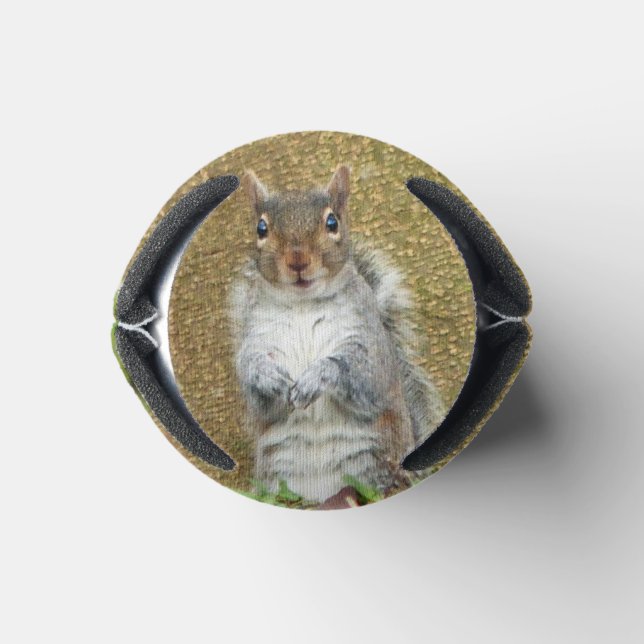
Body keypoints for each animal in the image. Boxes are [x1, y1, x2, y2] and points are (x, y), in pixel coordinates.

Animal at [229, 166, 445, 504]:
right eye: (261, 228)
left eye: (332, 223)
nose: (298, 260)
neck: (303, 304)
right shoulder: (257, 337)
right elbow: (253, 380)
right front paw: (267, 375)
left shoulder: (370, 341)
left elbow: (361, 372)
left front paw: (316, 376)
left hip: (377, 462)